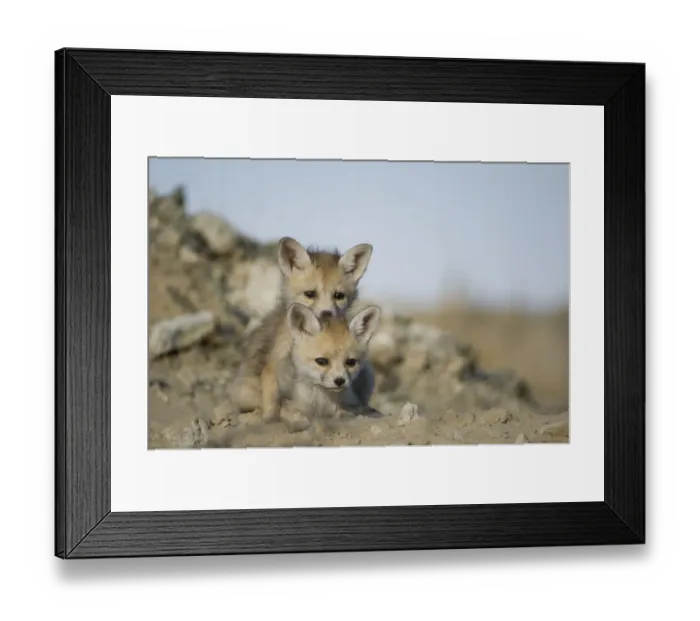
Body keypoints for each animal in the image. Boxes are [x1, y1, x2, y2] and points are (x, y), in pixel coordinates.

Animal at [231, 236, 373, 422]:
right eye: (310, 294)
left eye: (339, 296)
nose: (326, 313)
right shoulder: (274, 364)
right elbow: (272, 403)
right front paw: (270, 419)